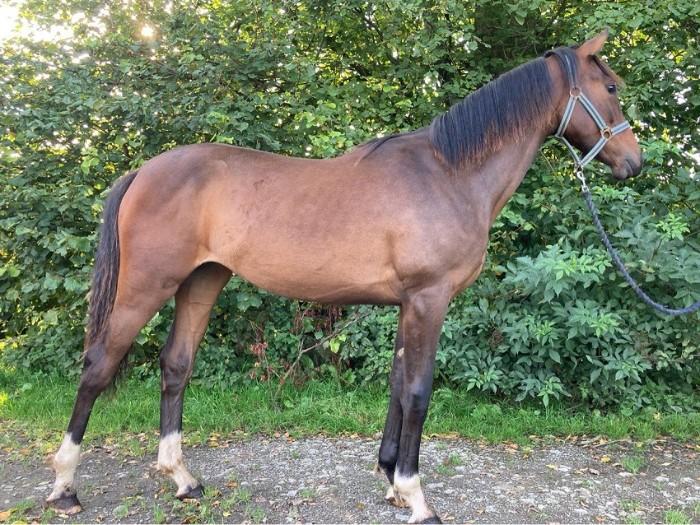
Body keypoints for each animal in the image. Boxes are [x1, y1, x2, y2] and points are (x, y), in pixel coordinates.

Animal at [46, 30, 642, 523]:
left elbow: (398, 386)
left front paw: (392, 482)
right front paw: (417, 498)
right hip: (146, 286)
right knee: (97, 366)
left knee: (176, 366)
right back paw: (65, 487)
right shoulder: (429, 299)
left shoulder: (409, 304)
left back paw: (183, 480)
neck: (449, 173)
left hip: (203, 281)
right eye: (611, 85)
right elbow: (419, 391)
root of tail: (144, 170)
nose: (633, 161)